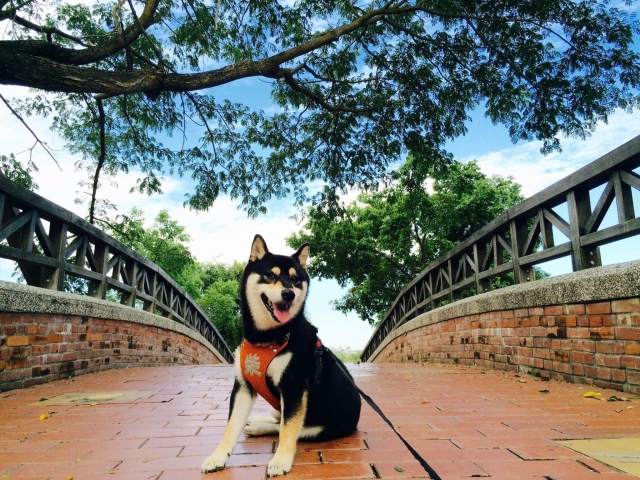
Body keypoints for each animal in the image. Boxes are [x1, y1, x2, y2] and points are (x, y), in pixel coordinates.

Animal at [201, 235, 360, 476]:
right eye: (270, 275)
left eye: (295, 279)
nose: (288, 294)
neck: (267, 339)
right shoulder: (243, 386)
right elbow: (231, 427)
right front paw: (217, 457)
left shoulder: (293, 387)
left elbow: (287, 430)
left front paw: (280, 460)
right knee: (277, 418)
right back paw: (256, 422)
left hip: (316, 428)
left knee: (285, 428)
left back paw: (258, 427)